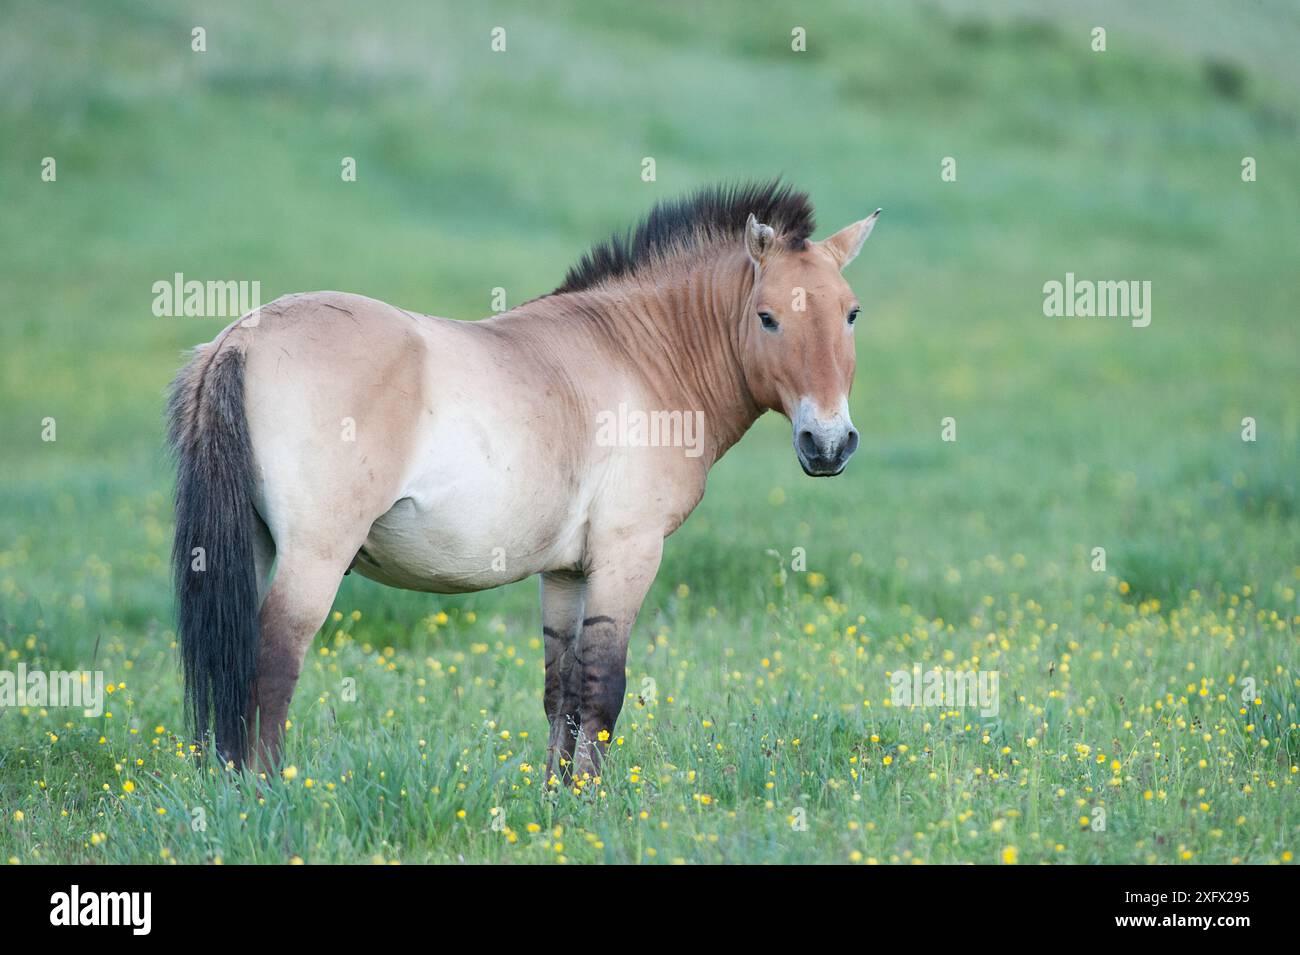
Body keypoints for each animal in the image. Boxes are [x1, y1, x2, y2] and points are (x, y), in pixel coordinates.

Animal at [167, 179, 878, 779]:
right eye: (767, 317)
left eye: (850, 314)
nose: (828, 443)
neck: (639, 357)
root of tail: (240, 339)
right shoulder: (628, 555)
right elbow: (603, 688)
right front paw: (591, 802)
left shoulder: (564, 573)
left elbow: (562, 690)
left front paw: (555, 800)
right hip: (313, 558)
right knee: (270, 668)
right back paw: (264, 794)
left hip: (255, 546)